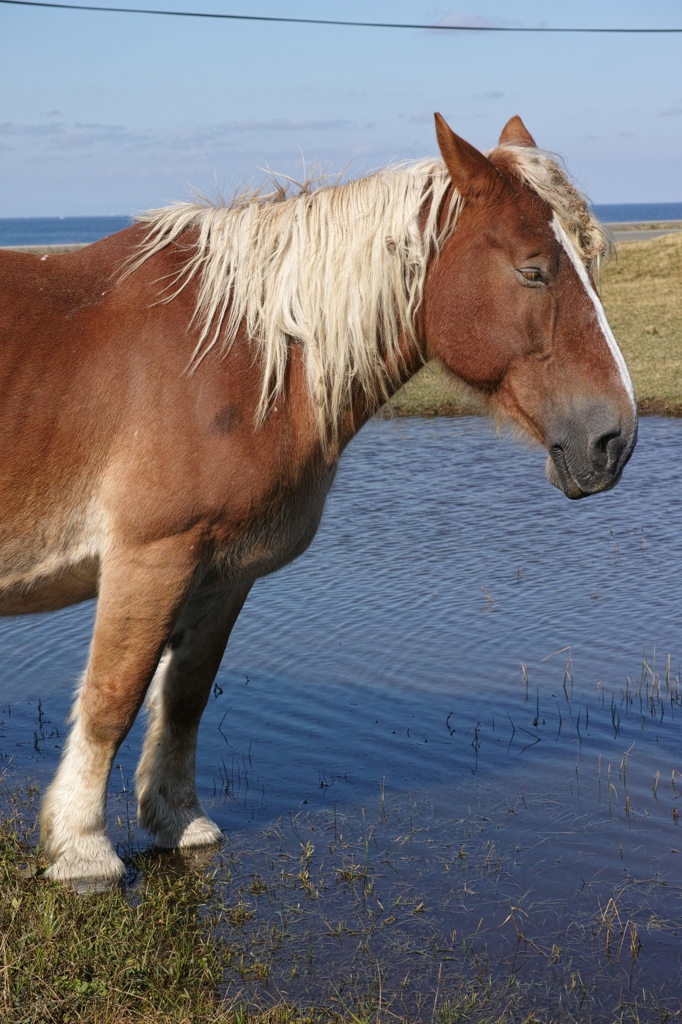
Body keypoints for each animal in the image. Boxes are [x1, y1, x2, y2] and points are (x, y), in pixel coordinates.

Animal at [0, 114, 634, 880]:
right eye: (533, 269)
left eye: (591, 262)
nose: (613, 439)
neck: (239, 355)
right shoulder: (150, 559)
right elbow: (112, 696)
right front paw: (83, 848)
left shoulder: (222, 575)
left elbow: (184, 696)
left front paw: (178, 820)